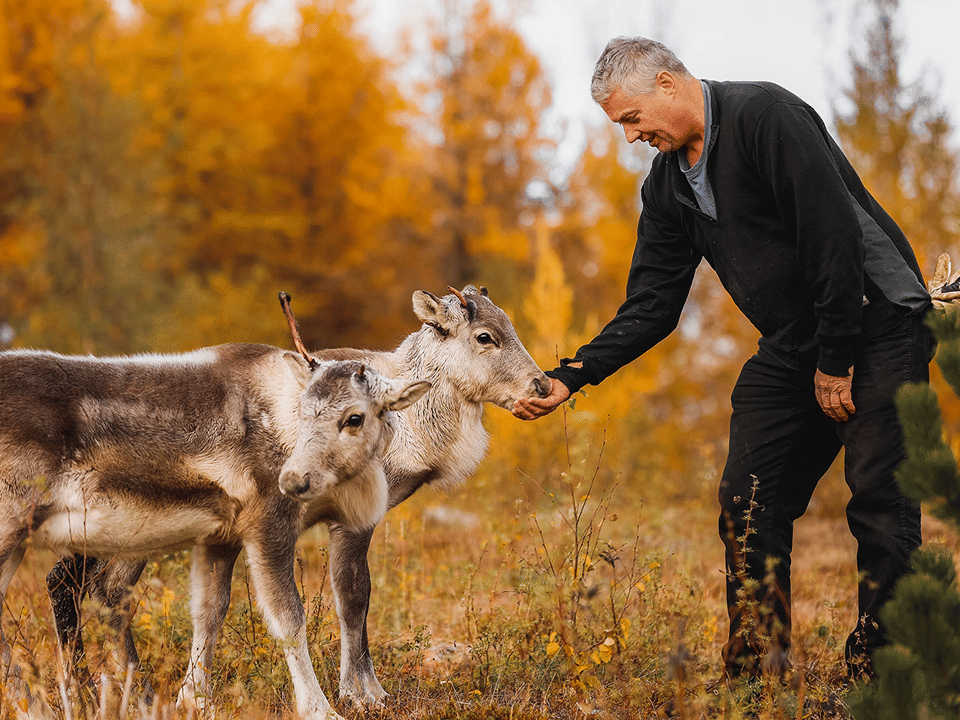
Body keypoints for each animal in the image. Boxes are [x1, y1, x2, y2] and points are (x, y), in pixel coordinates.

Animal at [0, 296, 431, 720]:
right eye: (304, 410)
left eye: (354, 417)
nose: (293, 480)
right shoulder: (267, 525)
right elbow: (289, 618)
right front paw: (319, 709)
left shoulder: (219, 537)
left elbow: (207, 612)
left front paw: (194, 700)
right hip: (12, 528)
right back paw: (34, 705)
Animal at [46, 285, 551, 710]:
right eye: (485, 336)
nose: (543, 385)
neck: (411, 425)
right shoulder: (350, 520)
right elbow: (353, 595)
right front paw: (362, 693)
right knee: (97, 587)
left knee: (75, 582)